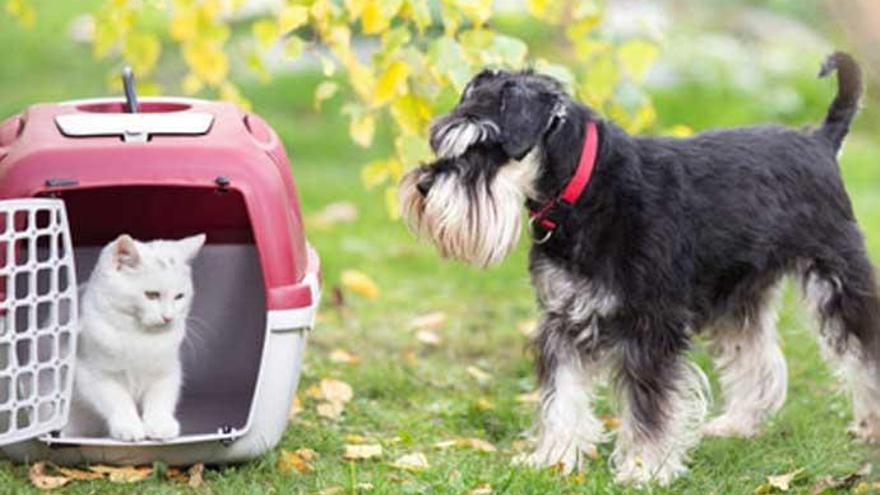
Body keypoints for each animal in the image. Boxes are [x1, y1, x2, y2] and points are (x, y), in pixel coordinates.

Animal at [65, 234, 205, 444]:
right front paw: (128, 426)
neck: (140, 334)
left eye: (180, 296)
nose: (169, 317)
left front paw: (160, 424)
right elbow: (118, 400)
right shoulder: (94, 375)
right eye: (151, 295)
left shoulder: (166, 372)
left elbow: (160, 399)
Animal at [400, 52, 880, 486]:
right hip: (739, 292)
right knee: (756, 357)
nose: (423, 185)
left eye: (484, 144)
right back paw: (738, 423)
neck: (585, 191)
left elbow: (649, 409)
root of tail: (819, 140)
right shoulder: (564, 320)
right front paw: (554, 459)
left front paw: (644, 469)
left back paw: (869, 426)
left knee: (863, 350)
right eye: (440, 138)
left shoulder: (650, 325)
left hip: (837, 279)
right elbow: (561, 395)